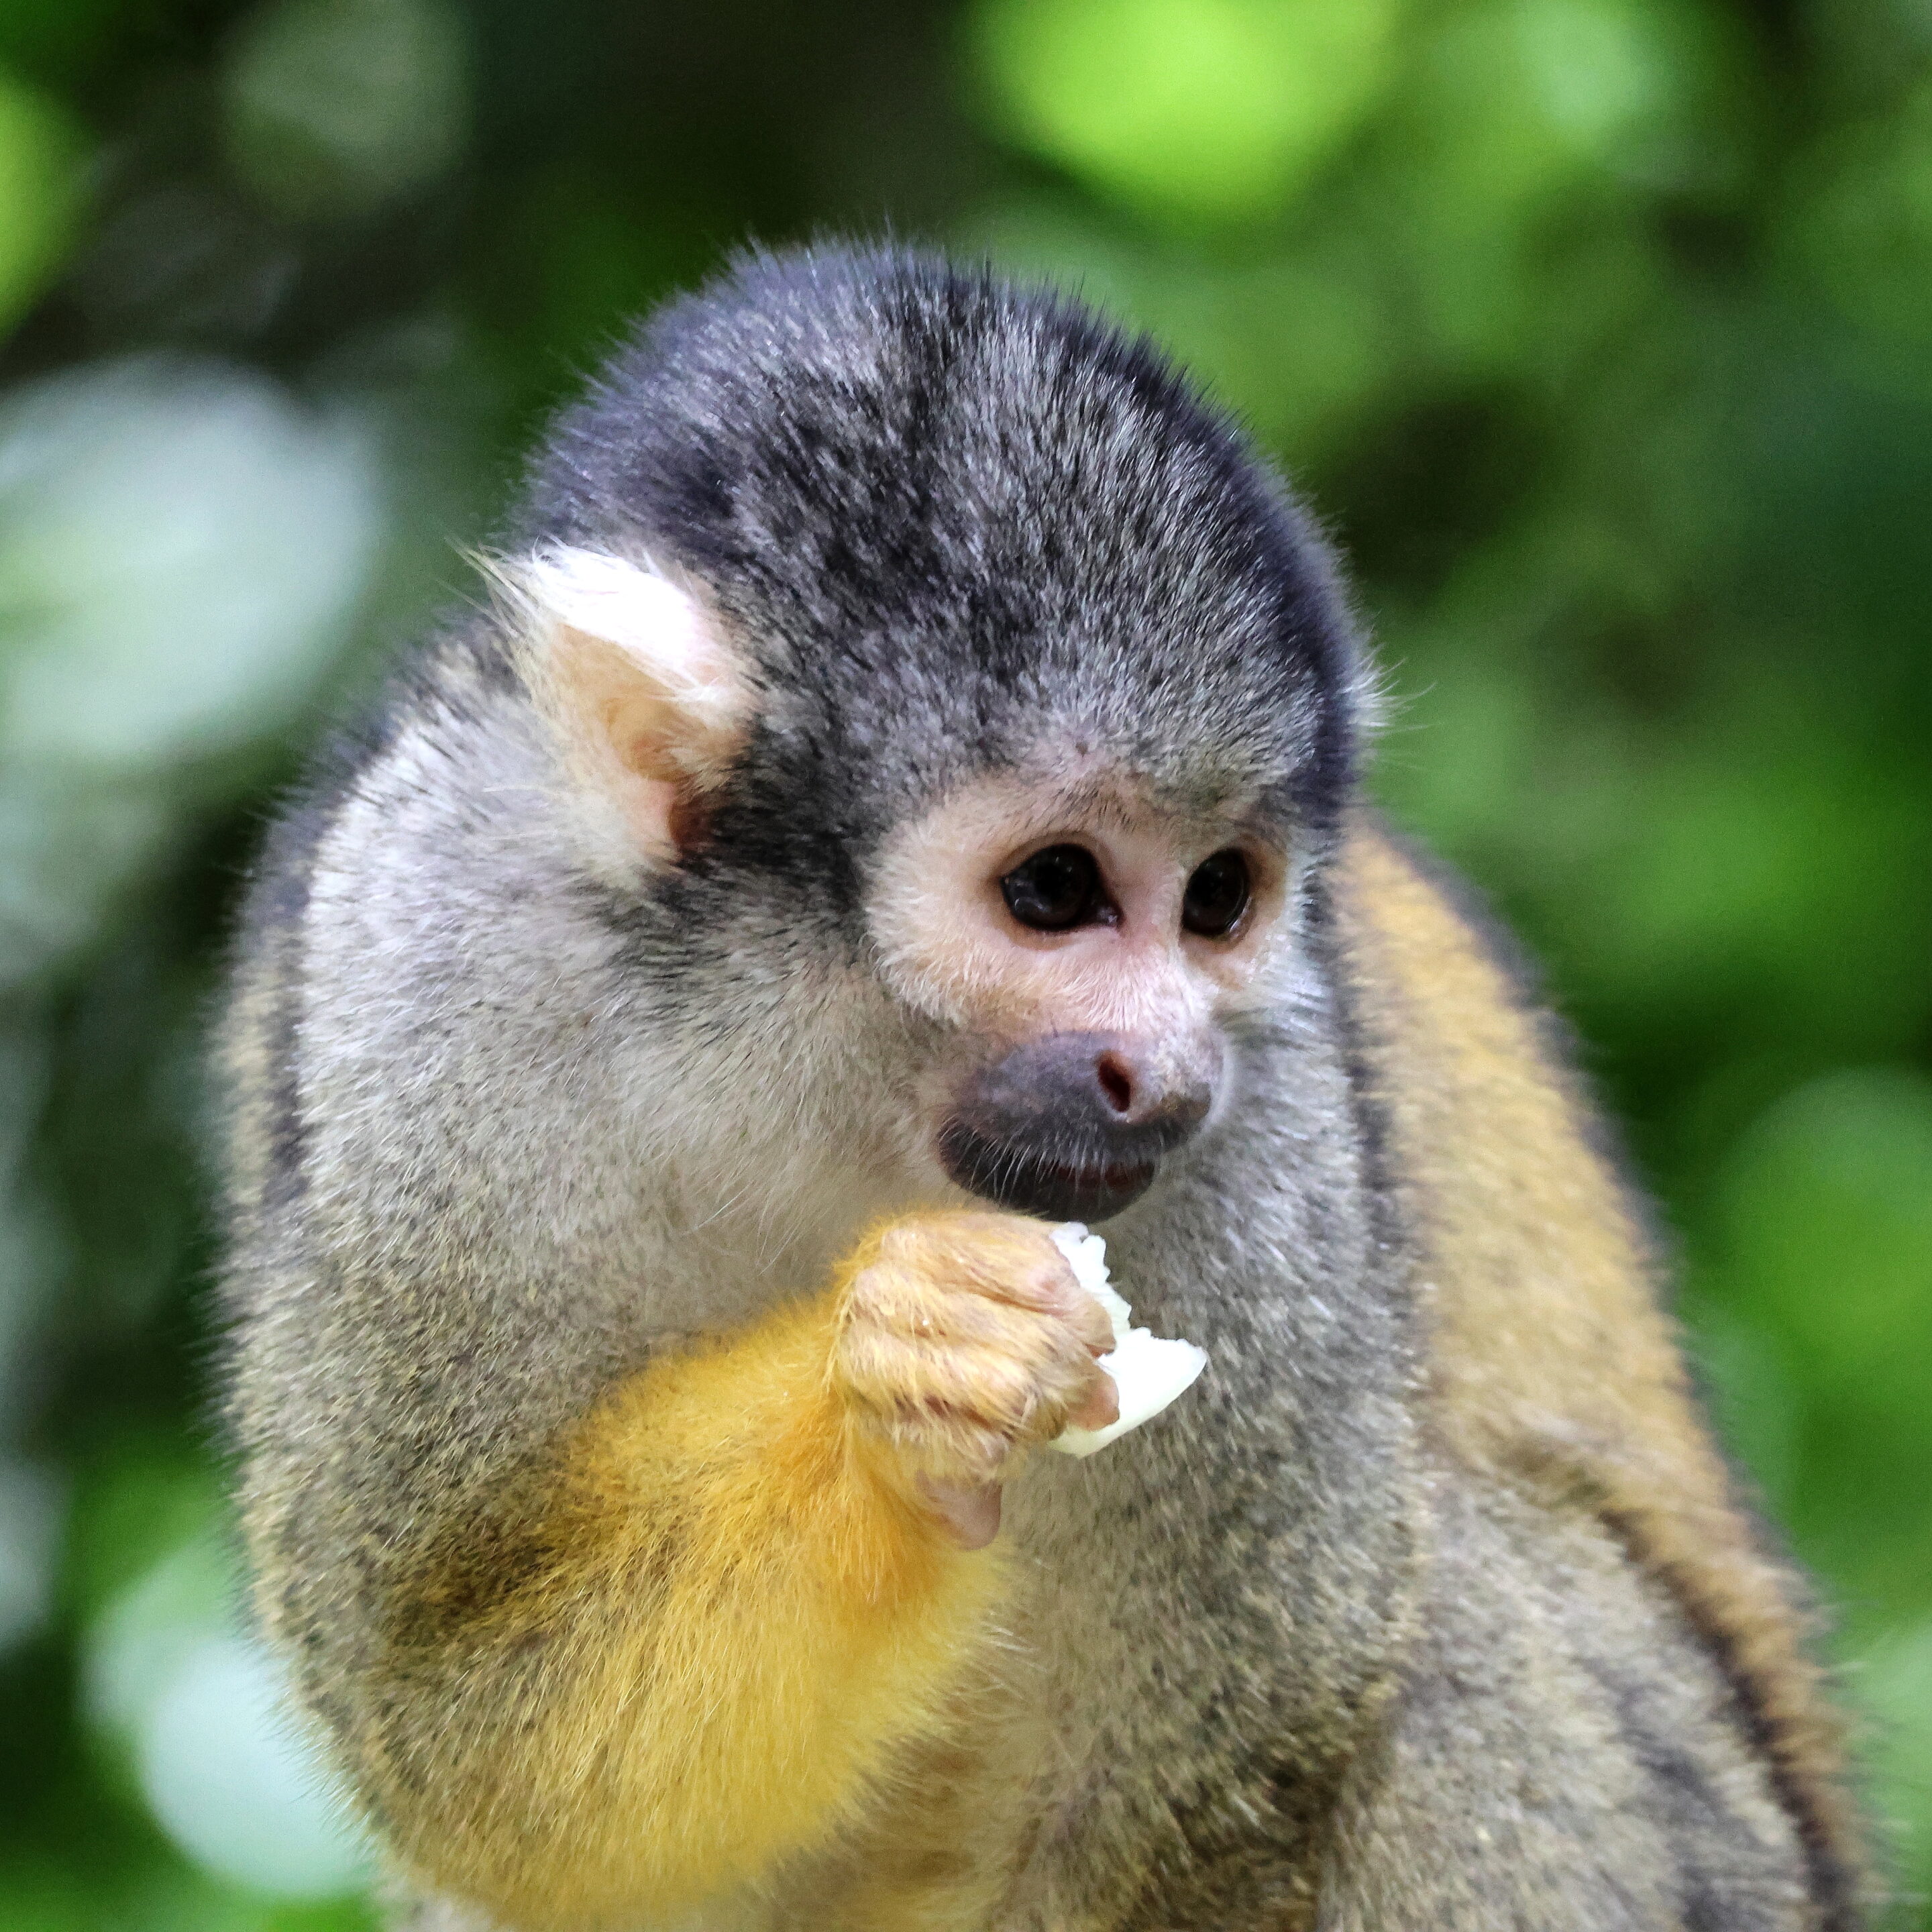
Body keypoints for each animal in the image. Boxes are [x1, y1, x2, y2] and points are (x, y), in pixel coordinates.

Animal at [214, 247, 1864, 1932]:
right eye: (1056, 889)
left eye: (1219, 899)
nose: (1173, 1071)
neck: (806, 1063)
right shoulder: (419, 988)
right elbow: (451, 1721)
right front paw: (894, 1395)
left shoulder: (1274, 1121)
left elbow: (1231, 1762)